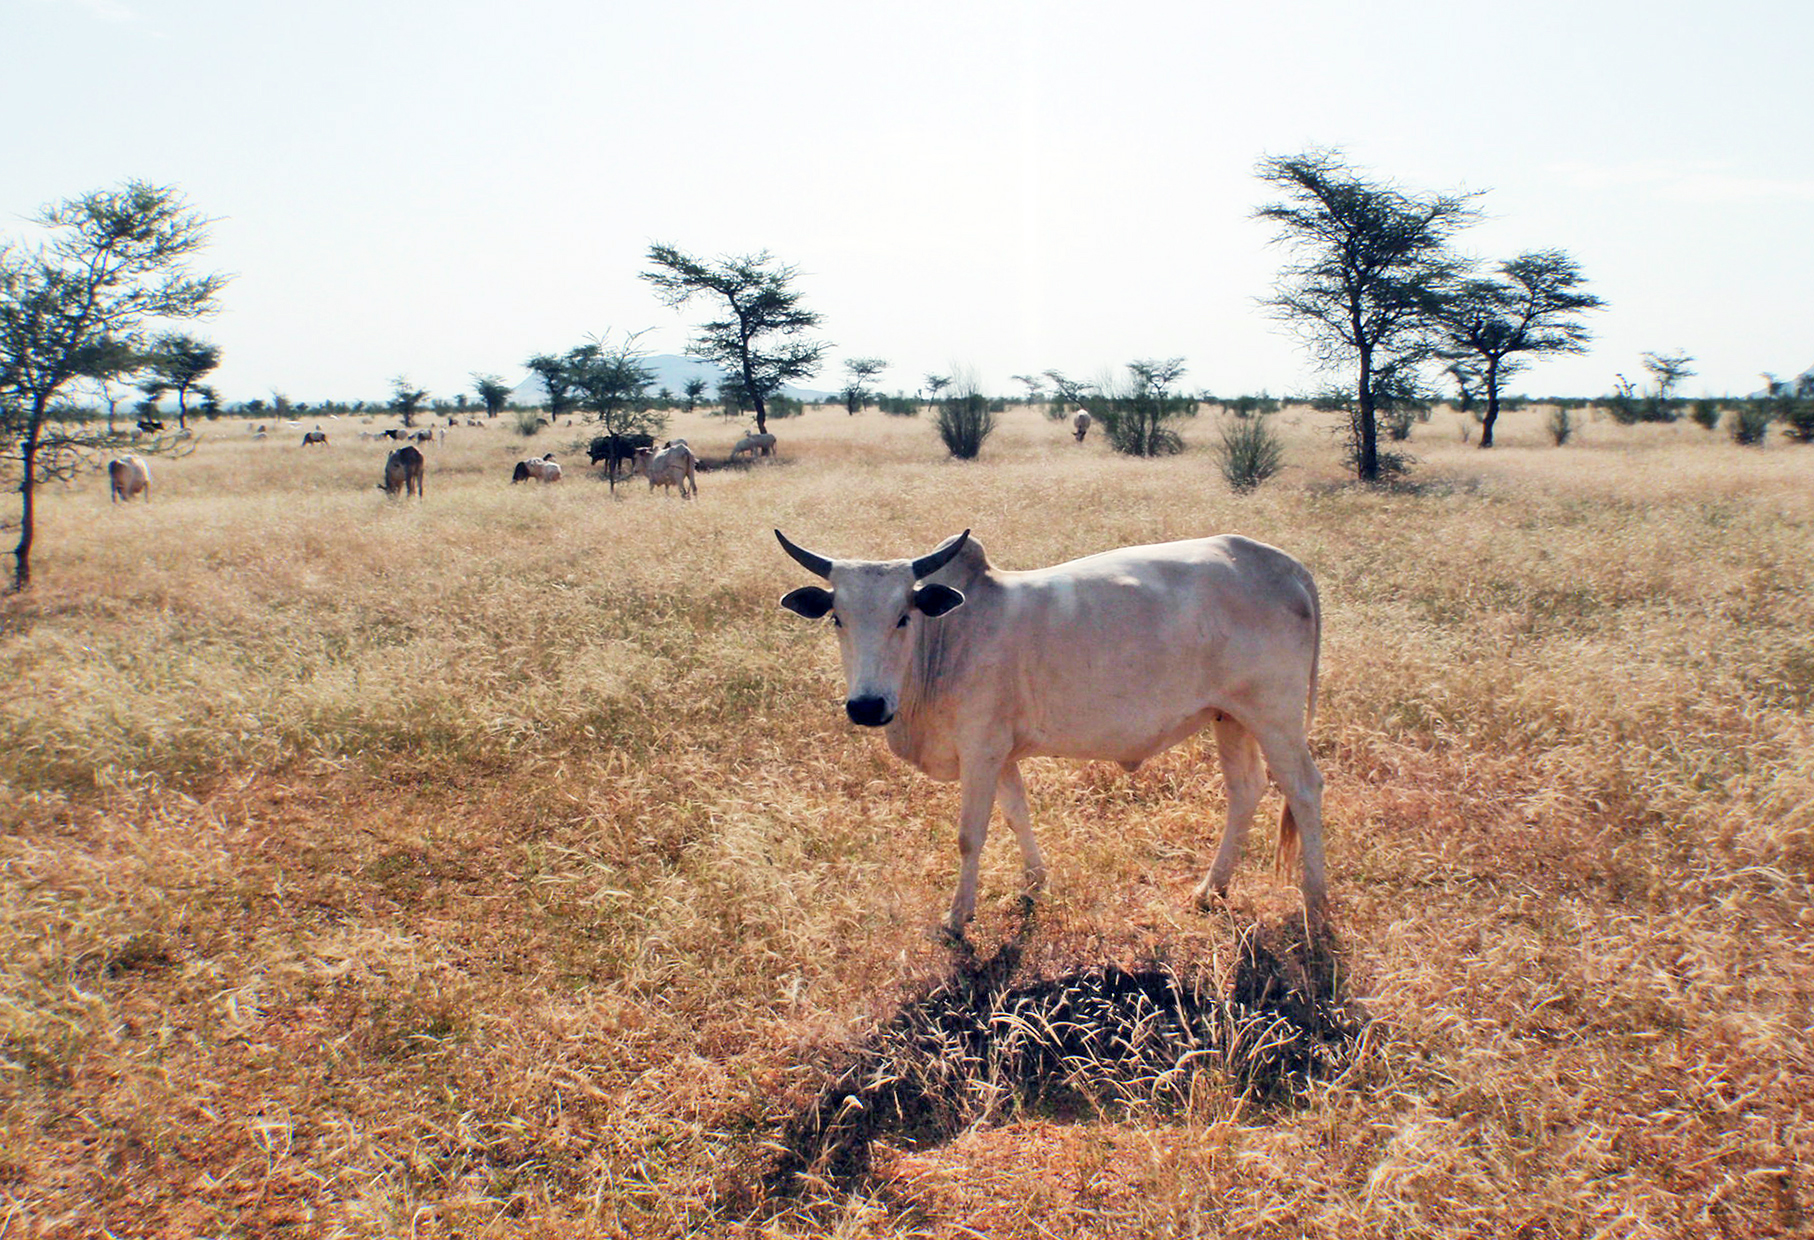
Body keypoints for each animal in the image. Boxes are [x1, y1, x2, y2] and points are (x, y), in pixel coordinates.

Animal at [774, 528, 1326, 938]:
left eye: (903, 617)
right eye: (838, 619)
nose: (866, 706)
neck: (950, 634)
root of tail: (1283, 565)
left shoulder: (979, 750)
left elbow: (969, 836)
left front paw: (957, 917)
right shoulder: (1001, 754)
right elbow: (1016, 814)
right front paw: (1034, 882)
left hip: (1274, 716)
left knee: (1303, 789)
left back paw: (1315, 899)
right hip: (1230, 718)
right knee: (1245, 791)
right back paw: (1213, 888)